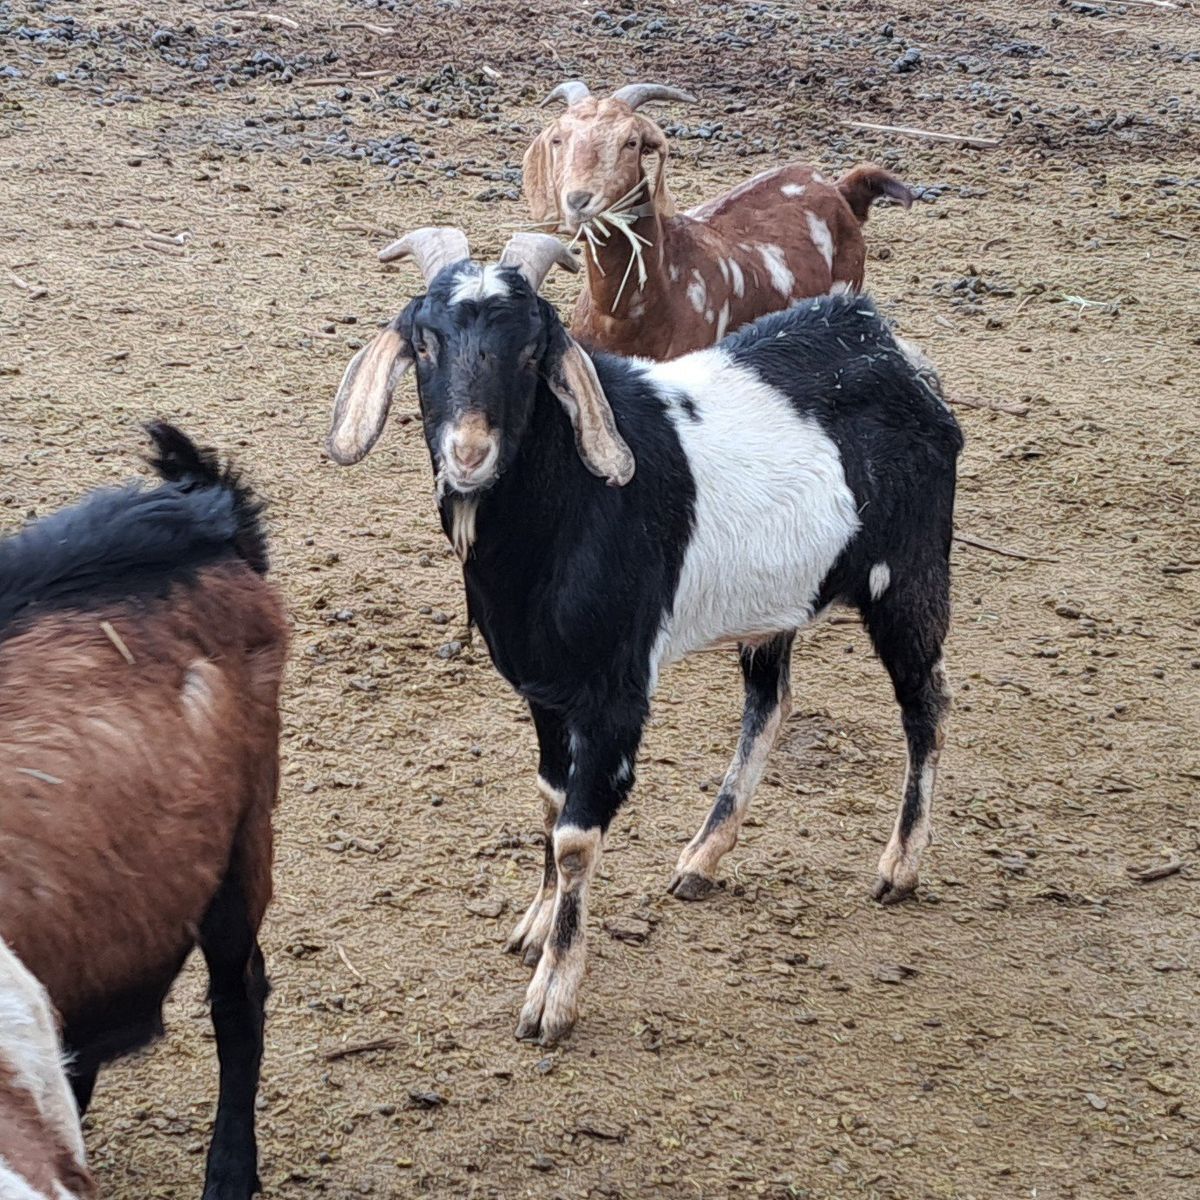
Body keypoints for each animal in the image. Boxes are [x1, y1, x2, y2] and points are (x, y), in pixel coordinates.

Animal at [327, 228, 961, 1046]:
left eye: (532, 351)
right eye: (426, 343)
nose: (470, 454)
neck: (565, 508)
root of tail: (889, 345)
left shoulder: (613, 692)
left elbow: (575, 838)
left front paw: (552, 996)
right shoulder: (543, 688)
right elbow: (548, 801)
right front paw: (535, 925)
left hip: (908, 574)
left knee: (925, 706)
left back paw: (899, 867)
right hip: (778, 602)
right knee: (770, 705)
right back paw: (702, 857)